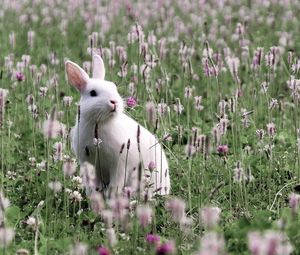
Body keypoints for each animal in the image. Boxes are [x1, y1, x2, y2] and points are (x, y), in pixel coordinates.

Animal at [64, 54, 170, 198]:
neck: (101, 122)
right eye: (93, 93)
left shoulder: (120, 164)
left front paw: (112, 196)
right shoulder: (89, 163)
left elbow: (116, 183)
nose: (114, 102)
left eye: (114, 88)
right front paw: (94, 196)